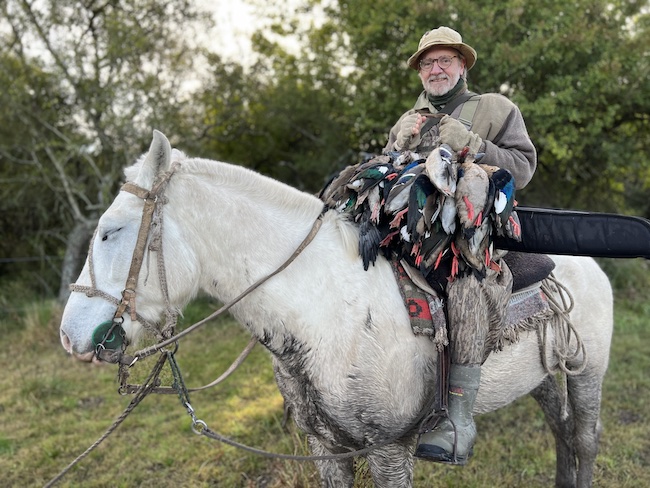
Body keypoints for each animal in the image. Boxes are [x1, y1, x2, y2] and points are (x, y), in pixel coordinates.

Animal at [58, 132, 612, 488]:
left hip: (587, 371)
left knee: (583, 440)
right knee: (561, 434)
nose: (70, 335)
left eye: (110, 232)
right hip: (543, 378)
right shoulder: (326, 448)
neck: (326, 310)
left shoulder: (389, 451)